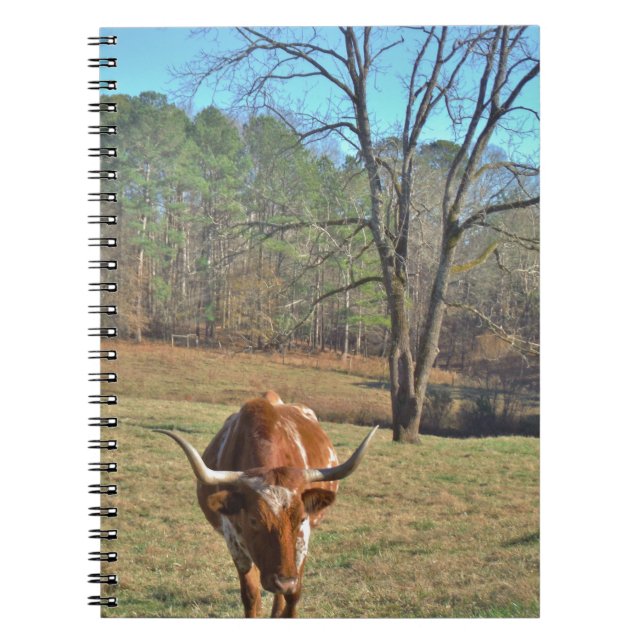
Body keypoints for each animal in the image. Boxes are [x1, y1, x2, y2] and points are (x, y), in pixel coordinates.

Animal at [155, 391, 377, 618]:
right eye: (254, 520)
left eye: (301, 518)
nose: (283, 581)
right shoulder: (235, 544)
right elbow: (251, 595)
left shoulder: (302, 541)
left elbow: (293, 596)